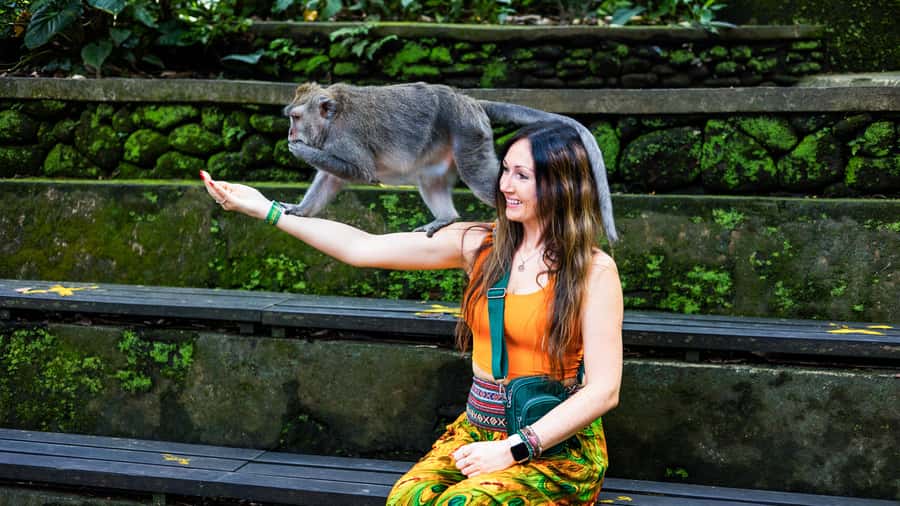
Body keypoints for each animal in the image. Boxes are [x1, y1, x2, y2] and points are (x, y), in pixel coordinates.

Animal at [283, 82, 618, 243]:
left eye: (295, 117)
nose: (289, 132)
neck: (332, 118)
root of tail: (470, 101)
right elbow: (331, 178)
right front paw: (300, 210)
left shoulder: (345, 139)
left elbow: (359, 171)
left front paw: (298, 149)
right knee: (429, 179)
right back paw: (446, 217)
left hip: (468, 132)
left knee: (479, 176)